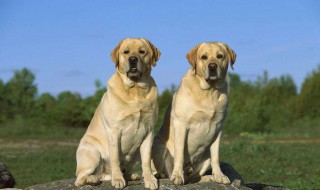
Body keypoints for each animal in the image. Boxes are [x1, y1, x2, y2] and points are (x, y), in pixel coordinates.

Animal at [75, 37, 160, 189]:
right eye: (126, 52)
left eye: (142, 52)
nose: (133, 59)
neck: (135, 90)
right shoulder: (114, 131)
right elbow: (114, 157)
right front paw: (118, 180)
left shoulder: (149, 131)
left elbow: (146, 160)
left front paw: (150, 179)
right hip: (93, 153)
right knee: (80, 179)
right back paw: (93, 179)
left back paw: (130, 175)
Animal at [151, 42, 236, 185]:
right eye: (204, 57)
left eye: (220, 56)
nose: (212, 66)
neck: (209, 92)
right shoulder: (181, 124)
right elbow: (179, 155)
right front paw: (177, 176)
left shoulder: (218, 129)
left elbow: (216, 157)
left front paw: (219, 175)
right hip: (158, 144)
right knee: (162, 171)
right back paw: (161, 175)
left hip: (205, 155)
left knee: (194, 177)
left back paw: (207, 177)